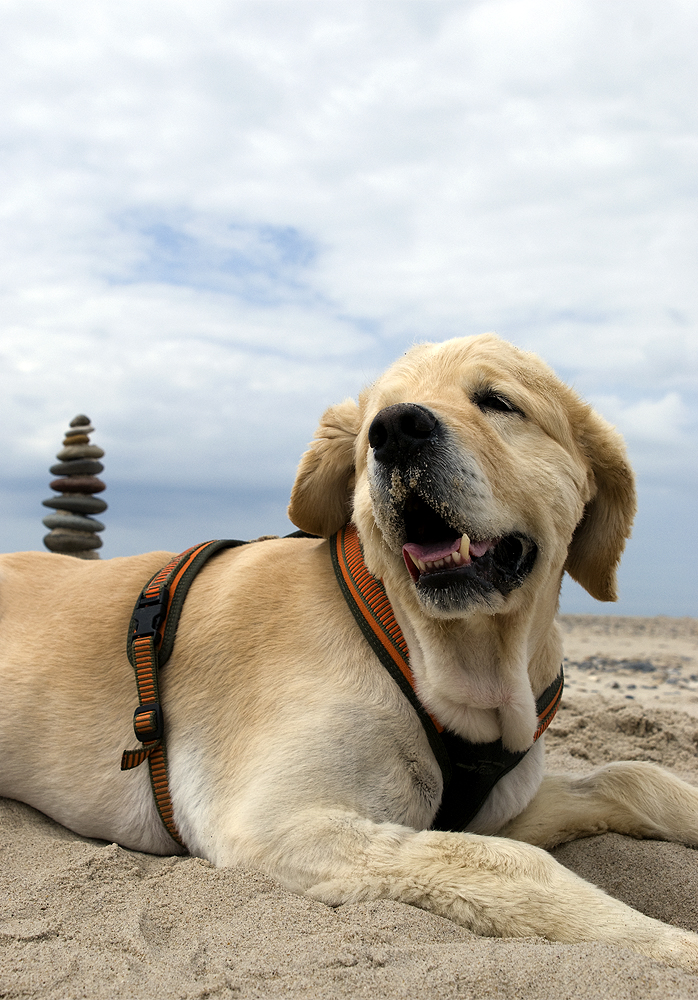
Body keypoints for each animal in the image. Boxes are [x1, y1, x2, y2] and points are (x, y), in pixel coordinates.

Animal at [1, 334, 696, 968]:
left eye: (498, 402)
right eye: (370, 429)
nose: (397, 430)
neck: (430, 654)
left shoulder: (500, 807)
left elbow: (632, 776)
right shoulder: (275, 822)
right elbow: (510, 863)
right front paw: (671, 945)